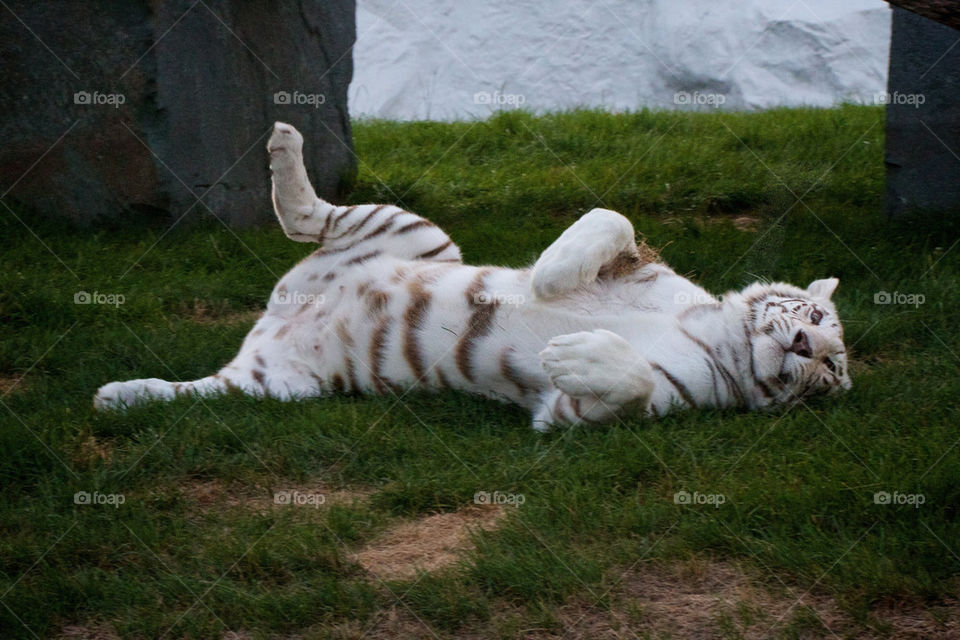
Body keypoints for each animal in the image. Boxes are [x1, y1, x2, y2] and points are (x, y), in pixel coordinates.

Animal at [93, 122, 852, 430]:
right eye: (817, 321)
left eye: (830, 375)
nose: (808, 349)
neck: (723, 338)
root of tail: (273, 322)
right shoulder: (640, 264)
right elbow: (611, 219)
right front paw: (547, 279)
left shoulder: (588, 412)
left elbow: (630, 382)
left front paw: (574, 352)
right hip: (416, 231)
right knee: (308, 215)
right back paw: (283, 143)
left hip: (276, 388)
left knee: (196, 392)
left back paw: (116, 396)